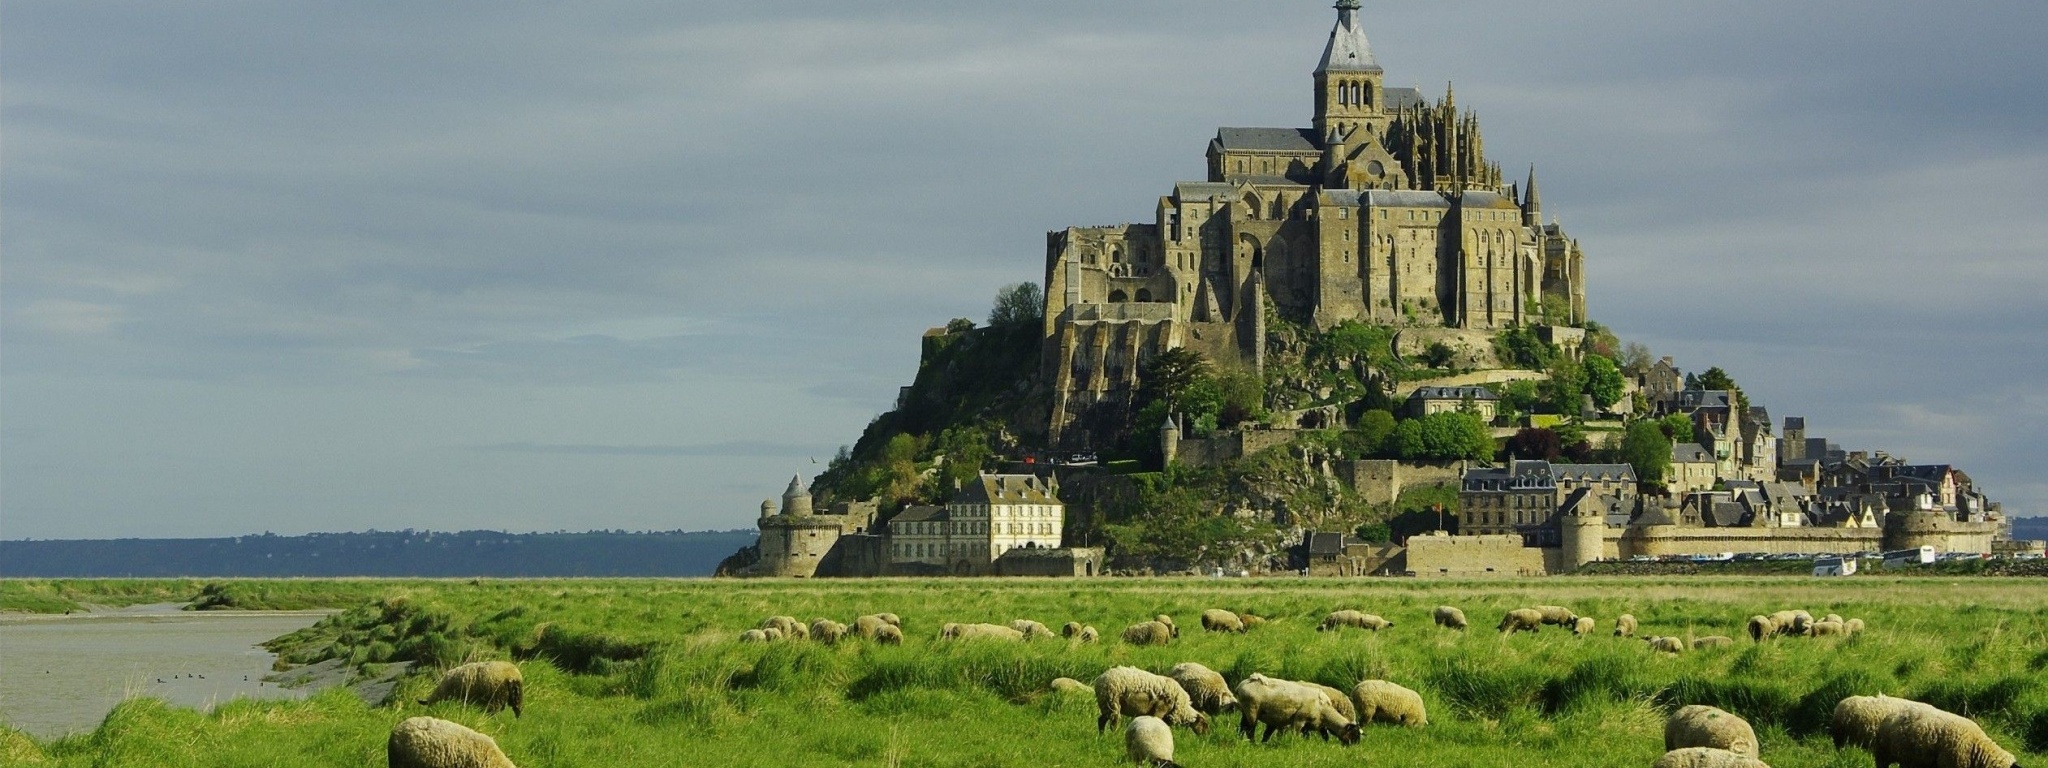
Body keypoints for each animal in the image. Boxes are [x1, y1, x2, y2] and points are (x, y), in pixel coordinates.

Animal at [1228, 671, 1359, 745]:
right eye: (1353, 734)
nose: (1354, 747)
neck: (1324, 711)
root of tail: (1241, 685)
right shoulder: (1300, 719)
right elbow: (1296, 733)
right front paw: (1295, 744)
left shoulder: (1313, 725)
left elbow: (1322, 736)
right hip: (1252, 710)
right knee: (1250, 729)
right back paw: (1252, 743)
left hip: (1245, 711)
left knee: (1242, 727)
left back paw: (1240, 740)